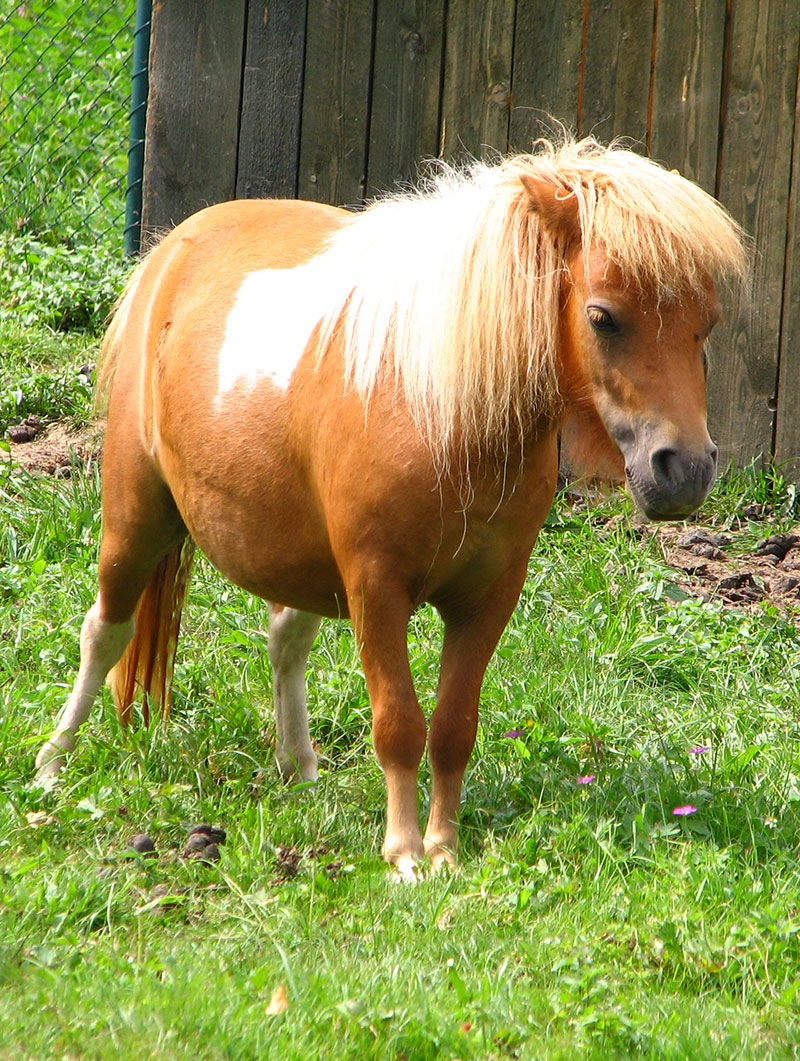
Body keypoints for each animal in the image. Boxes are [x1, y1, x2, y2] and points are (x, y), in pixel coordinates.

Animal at [34, 136, 746, 874]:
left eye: (707, 325)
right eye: (603, 317)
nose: (685, 470)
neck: (439, 409)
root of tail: (174, 247)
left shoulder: (487, 597)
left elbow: (454, 726)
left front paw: (445, 848)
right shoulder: (376, 588)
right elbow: (399, 723)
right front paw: (404, 853)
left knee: (285, 638)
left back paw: (299, 770)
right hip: (135, 517)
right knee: (105, 629)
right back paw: (52, 766)